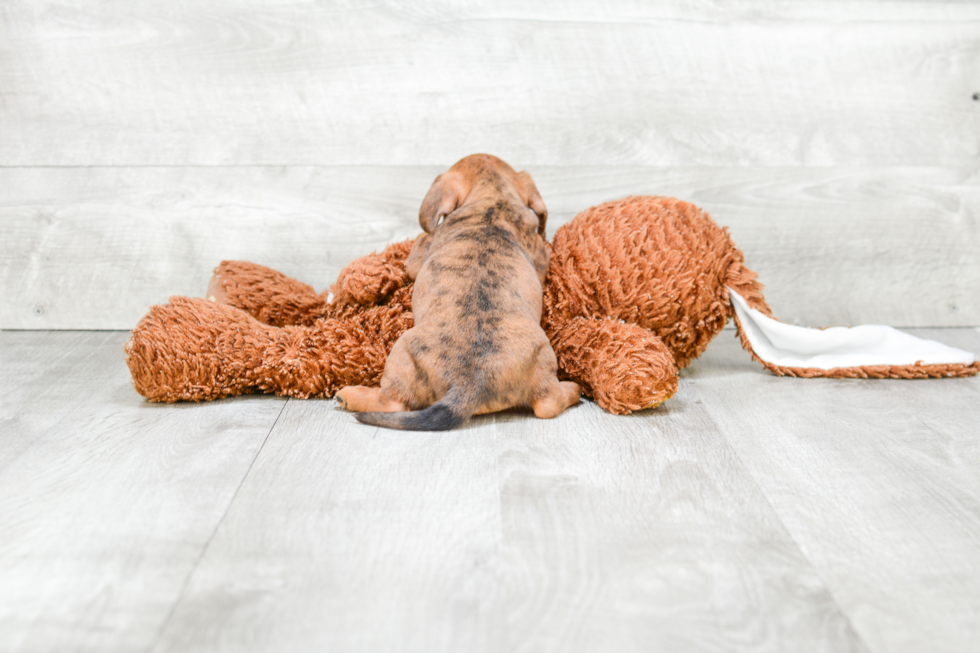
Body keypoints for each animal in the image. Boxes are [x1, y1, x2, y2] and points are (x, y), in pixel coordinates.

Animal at [336, 153, 580, 428]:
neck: (493, 198)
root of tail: (469, 384)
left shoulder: (417, 261)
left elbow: (420, 243)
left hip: (402, 350)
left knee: (392, 402)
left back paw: (350, 396)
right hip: (543, 355)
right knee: (547, 404)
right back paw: (573, 389)